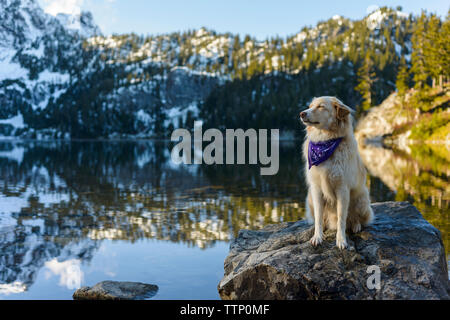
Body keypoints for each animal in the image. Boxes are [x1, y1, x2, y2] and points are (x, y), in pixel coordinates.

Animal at [300, 96, 374, 249]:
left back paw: (356, 225)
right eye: (310, 106)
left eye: (321, 107)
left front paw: (341, 240)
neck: (325, 141)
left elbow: (341, 217)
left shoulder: (342, 188)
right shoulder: (316, 188)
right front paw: (317, 236)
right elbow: (319, 216)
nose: (302, 113)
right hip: (309, 197)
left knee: (355, 218)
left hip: (362, 198)